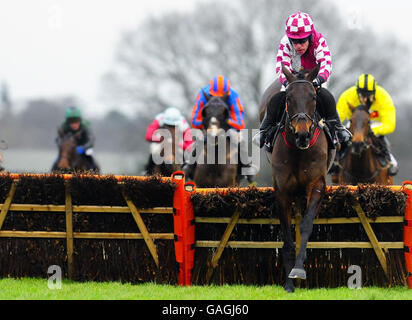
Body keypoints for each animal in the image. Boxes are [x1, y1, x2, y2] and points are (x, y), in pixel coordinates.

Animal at [268, 64, 334, 292]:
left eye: (313, 97)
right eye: (288, 97)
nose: (302, 135)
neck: (298, 151)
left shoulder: (316, 186)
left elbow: (305, 226)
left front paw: (298, 270)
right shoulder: (282, 192)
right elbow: (287, 234)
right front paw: (289, 283)